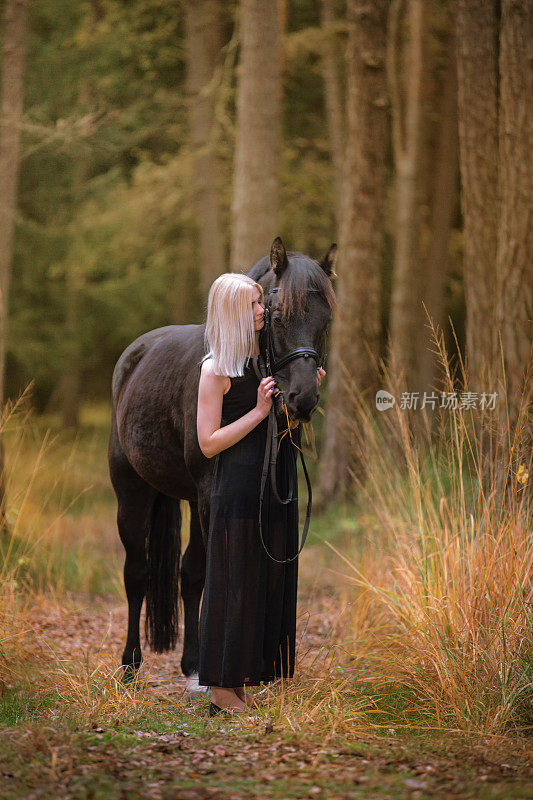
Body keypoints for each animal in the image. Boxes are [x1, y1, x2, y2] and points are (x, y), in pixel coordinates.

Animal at [107, 234, 336, 684]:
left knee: (185, 573)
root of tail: (134, 356)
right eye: (277, 316)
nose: (303, 399)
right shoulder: (209, 493)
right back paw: (130, 663)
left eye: (326, 322)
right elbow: (208, 569)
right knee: (136, 572)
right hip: (133, 494)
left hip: (185, 496)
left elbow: (196, 572)